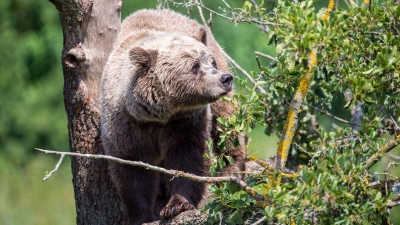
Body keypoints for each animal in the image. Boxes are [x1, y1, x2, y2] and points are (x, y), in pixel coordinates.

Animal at [99, 8, 247, 225]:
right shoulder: (125, 125)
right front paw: (142, 215)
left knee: (225, 122)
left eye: (210, 61)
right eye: (194, 66)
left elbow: (188, 156)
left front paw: (177, 205)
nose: (224, 79)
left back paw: (231, 170)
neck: (158, 114)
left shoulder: (185, 122)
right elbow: (131, 169)